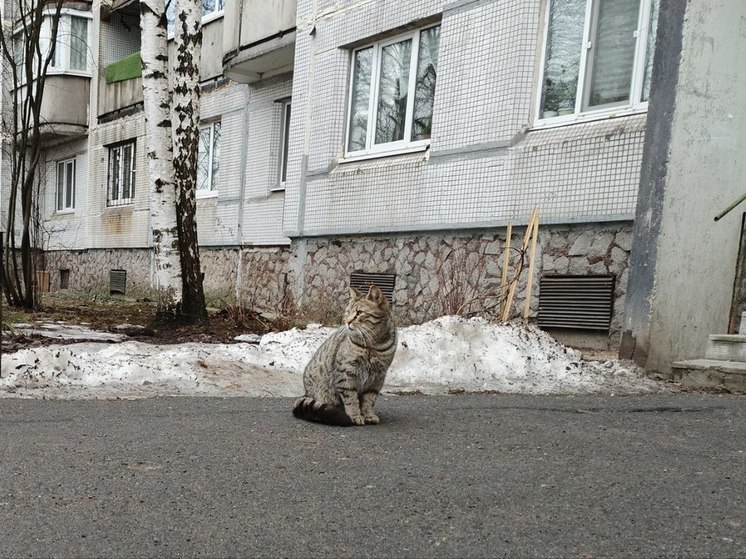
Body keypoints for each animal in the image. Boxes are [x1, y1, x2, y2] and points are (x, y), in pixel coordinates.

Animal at [290, 286, 396, 426]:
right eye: (348, 312)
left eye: (359, 313)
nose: (347, 321)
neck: (372, 344)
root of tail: (306, 393)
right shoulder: (346, 373)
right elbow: (351, 398)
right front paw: (355, 415)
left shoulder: (378, 376)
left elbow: (369, 399)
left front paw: (368, 415)